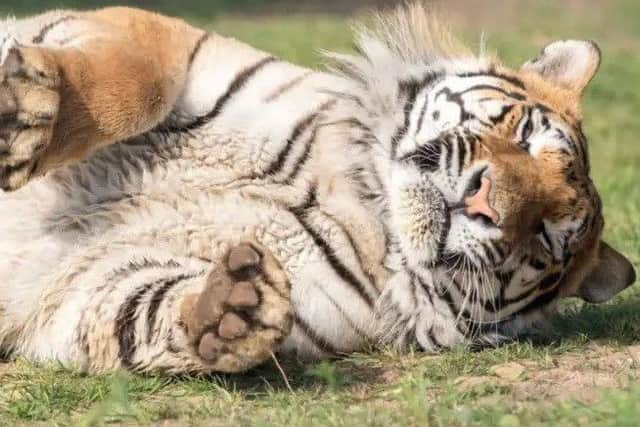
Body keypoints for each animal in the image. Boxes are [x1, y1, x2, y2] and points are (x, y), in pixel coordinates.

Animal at [0, 2, 634, 374]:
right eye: (524, 138)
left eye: (544, 238)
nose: (485, 202)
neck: (366, 200)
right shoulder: (163, 42)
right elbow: (134, 86)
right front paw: (23, 112)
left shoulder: (81, 283)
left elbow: (138, 308)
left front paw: (235, 307)